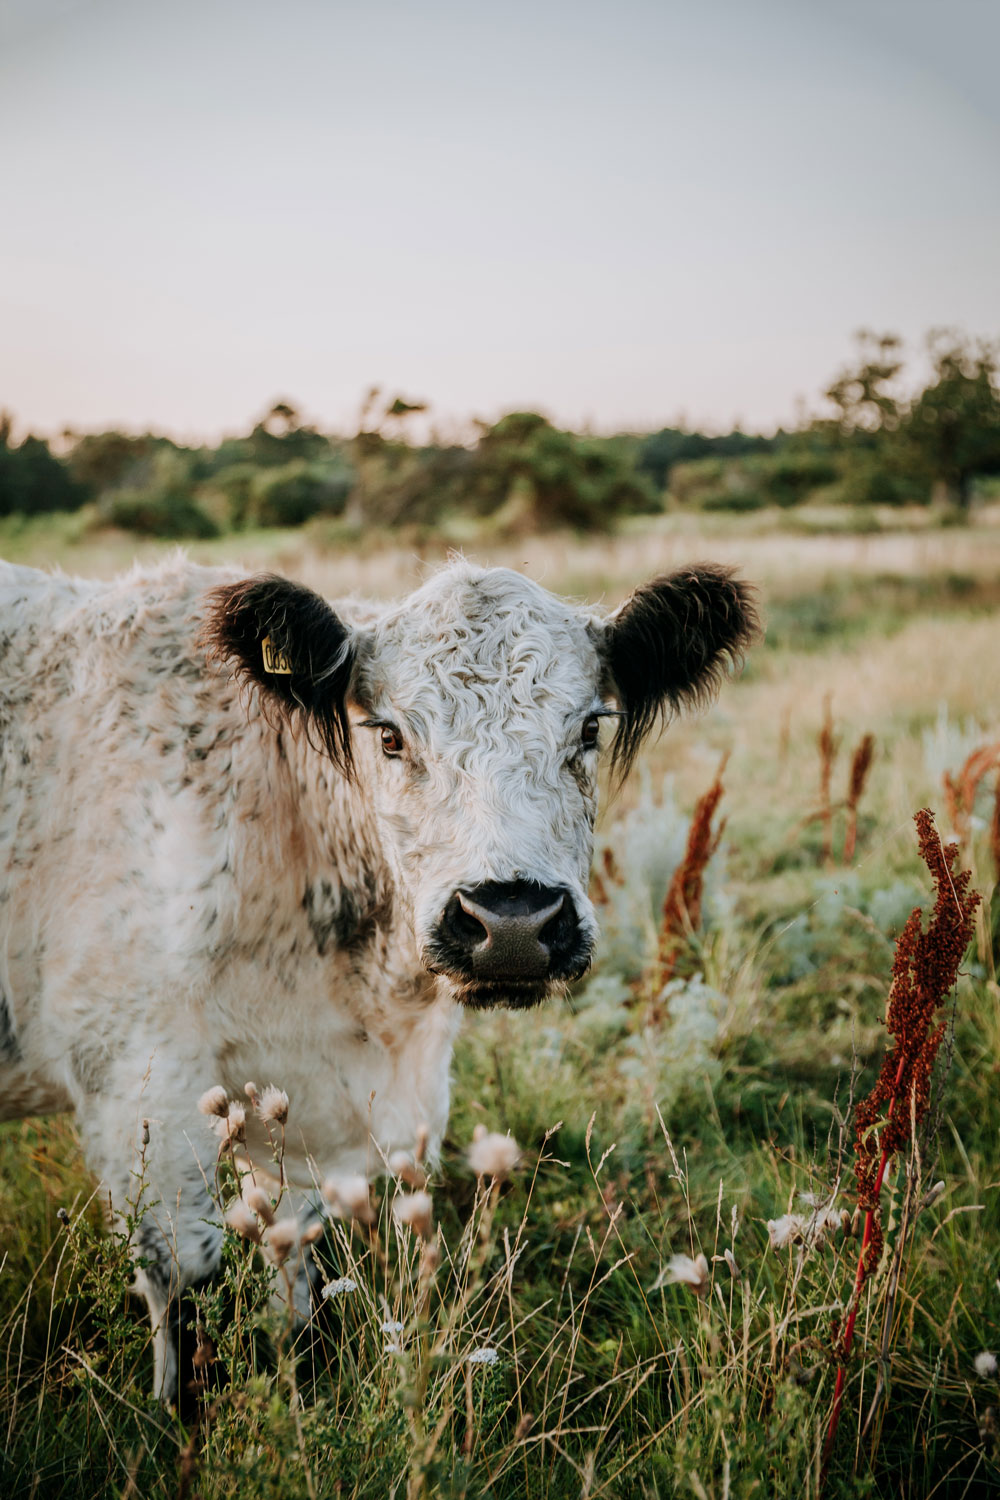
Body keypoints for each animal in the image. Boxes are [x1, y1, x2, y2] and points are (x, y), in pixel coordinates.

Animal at [0, 555, 758, 1404]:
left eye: (590, 728)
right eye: (391, 736)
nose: (512, 924)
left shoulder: (304, 1113)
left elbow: (296, 1271)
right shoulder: (135, 1079)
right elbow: (186, 1290)